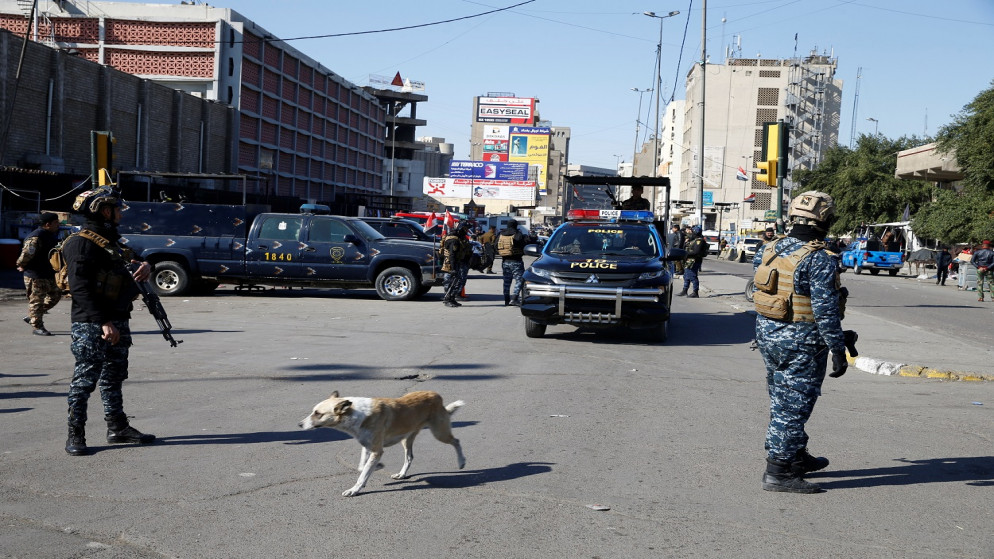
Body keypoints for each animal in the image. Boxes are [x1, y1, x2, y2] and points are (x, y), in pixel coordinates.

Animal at [298, 390, 464, 498]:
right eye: (314, 412)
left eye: (318, 413)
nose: (299, 424)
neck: (355, 414)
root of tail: (436, 395)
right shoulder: (368, 447)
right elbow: (362, 467)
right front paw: (376, 468)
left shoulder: (377, 450)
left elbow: (363, 472)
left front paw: (355, 490)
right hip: (406, 439)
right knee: (409, 457)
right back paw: (402, 474)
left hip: (439, 433)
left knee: (456, 441)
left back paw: (462, 462)